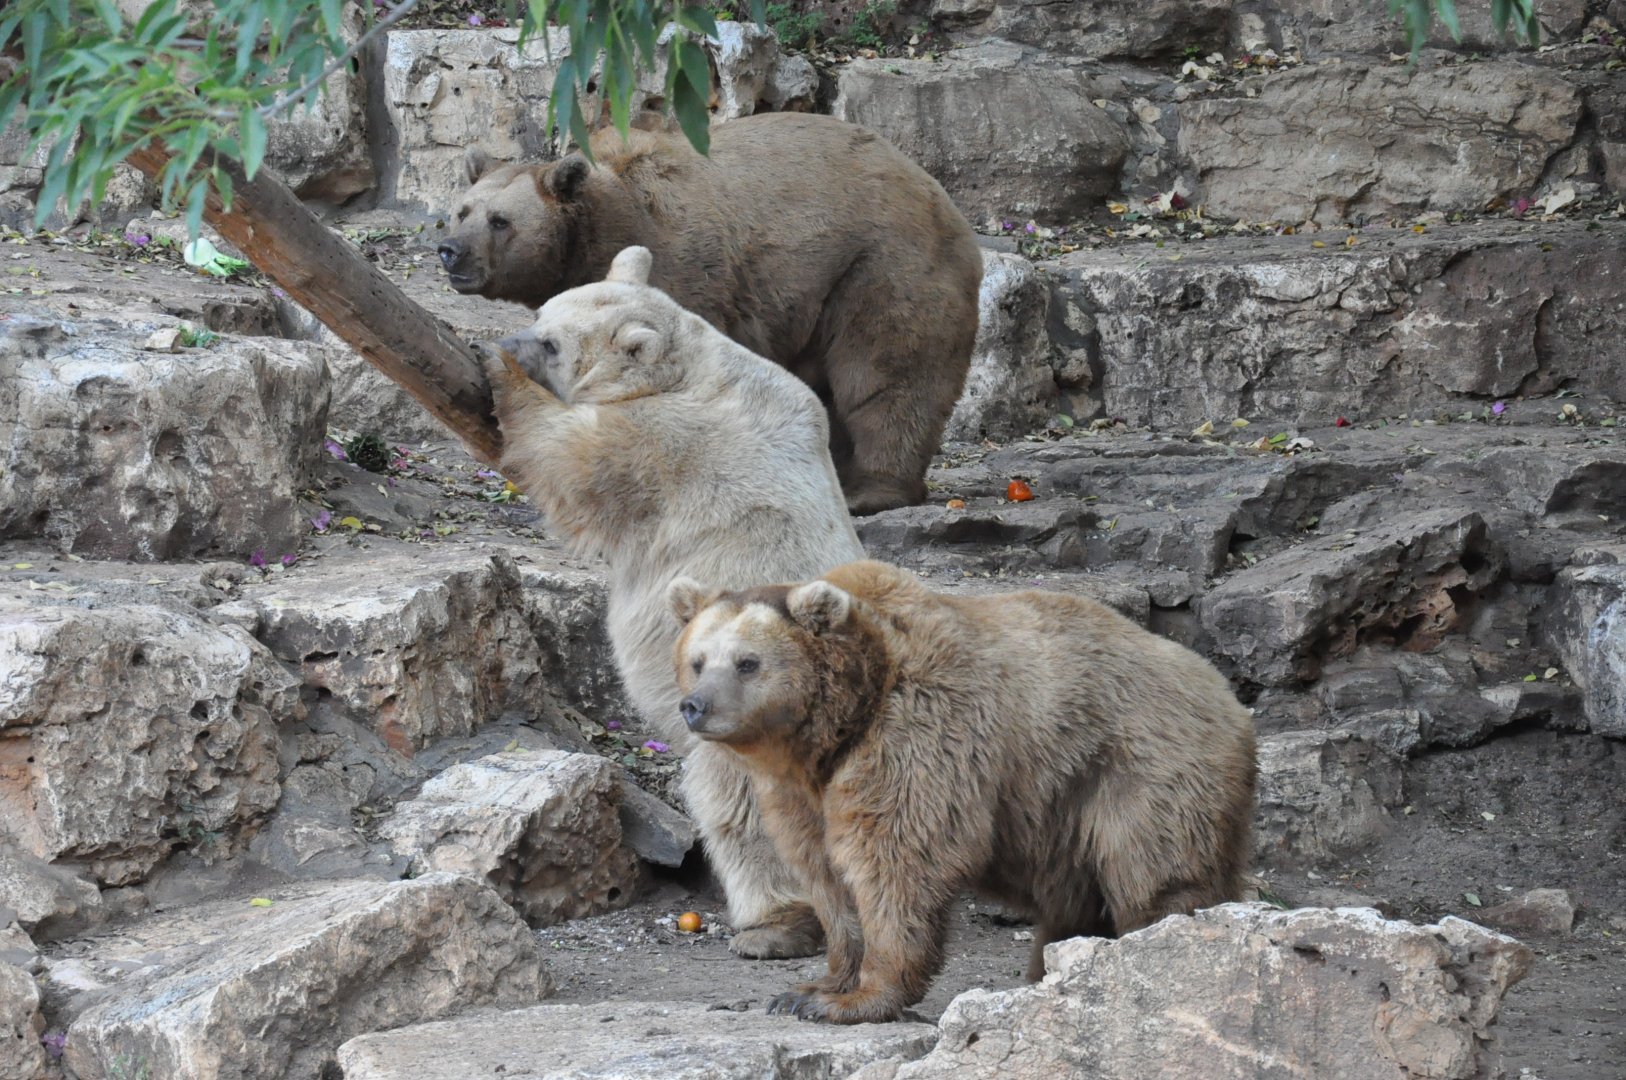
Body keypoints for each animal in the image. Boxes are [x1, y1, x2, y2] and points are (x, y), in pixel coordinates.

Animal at [439, 111, 985, 516]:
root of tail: (940, 195)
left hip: (881, 264)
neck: (594, 234)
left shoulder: (681, 272)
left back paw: (870, 489)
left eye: (500, 220)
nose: (450, 251)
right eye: (463, 211)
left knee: (885, 372)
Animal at [481, 245, 868, 960]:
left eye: (550, 342)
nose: (511, 341)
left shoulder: (665, 439)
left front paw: (504, 377)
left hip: (755, 714)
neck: (693, 365)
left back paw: (778, 924)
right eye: (541, 313)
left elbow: (572, 463)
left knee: (743, 805)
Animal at [666, 559, 1259, 1024]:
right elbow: (828, 875)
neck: (840, 725)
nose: (695, 705)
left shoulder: (917, 739)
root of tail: (1226, 694)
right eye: (697, 660)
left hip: (1140, 767)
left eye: (747, 662)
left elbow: (895, 863)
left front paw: (853, 1000)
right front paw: (813, 987)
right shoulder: (803, 791)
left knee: (1153, 872)